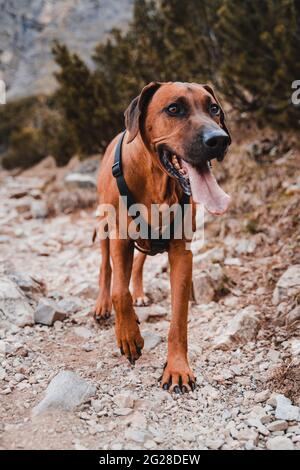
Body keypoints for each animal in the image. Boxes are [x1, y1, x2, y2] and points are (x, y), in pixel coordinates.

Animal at [95, 81, 231, 392]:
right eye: (174, 109)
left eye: (214, 108)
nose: (220, 140)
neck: (158, 181)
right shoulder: (120, 238)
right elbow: (119, 291)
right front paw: (128, 336)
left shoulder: (181, 252)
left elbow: (178, 318)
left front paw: (177, 368)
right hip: (104, 228)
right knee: (106, 268)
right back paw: (102, 305)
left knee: (138, 265)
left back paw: (140, 294)